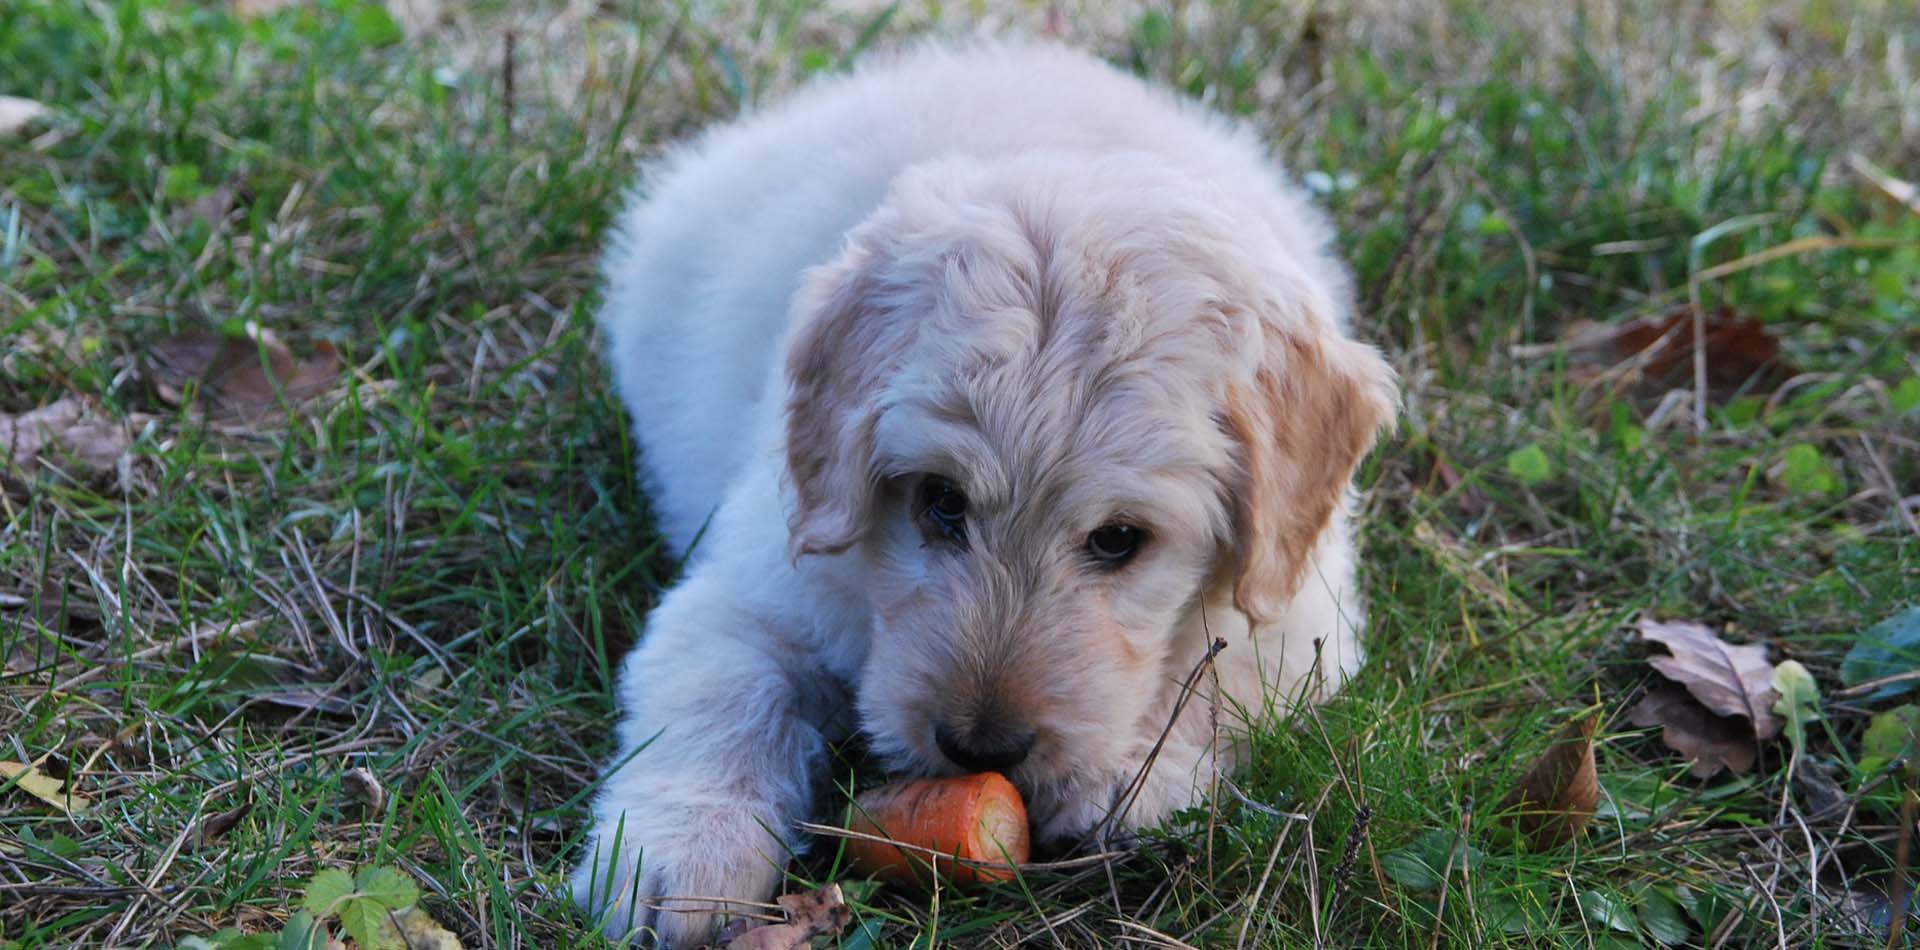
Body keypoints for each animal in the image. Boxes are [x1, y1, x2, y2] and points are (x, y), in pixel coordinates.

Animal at [568, 40, 1397, 948]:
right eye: (940, 499)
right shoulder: (756, 584)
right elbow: (723, 695)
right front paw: (680, 857)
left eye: (1119, 539)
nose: (981, 749)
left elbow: (1221, 679)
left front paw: (1130, 775)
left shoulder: (1302, 612)